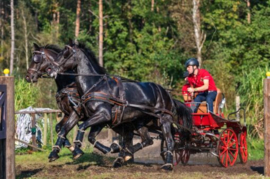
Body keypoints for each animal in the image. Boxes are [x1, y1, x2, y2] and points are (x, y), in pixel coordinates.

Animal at [48, 39, 192, 170]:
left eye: (65, 54)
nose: (51, 70)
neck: (95, 86)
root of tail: (167, 94)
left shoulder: (103, 115)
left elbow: (82, 127)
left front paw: (78, 149)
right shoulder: (86, 115)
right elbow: (70, 131)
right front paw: (54, 153)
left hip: (163, 119)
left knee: (170, 140)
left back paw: (167, 164)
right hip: (143, 122)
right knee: (148, 140)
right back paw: (124, 156)